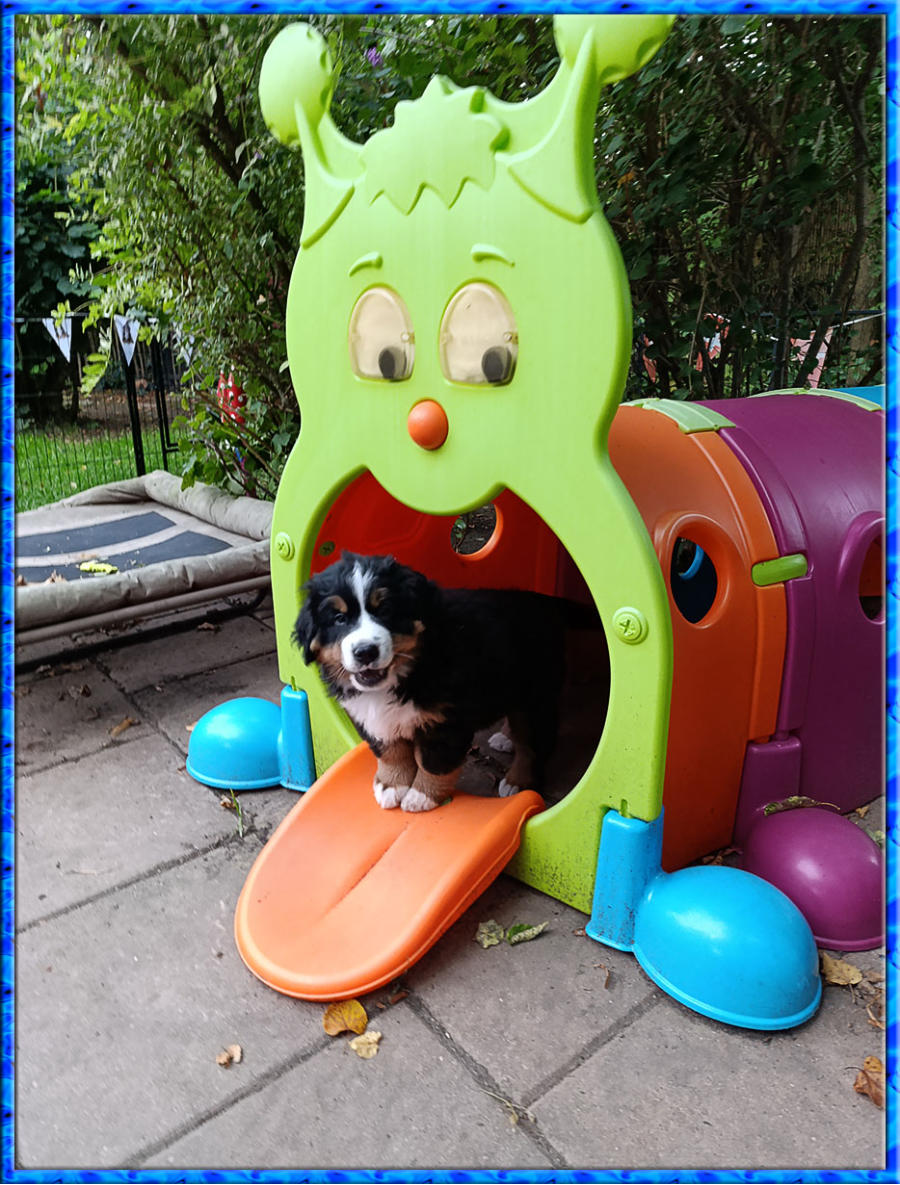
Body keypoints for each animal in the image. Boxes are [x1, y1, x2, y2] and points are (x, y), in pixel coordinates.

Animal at [292, 551, 576, 812]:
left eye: (386, 610)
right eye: (339, 618)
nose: (365, 652)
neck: (407, 672)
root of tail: (542, 602)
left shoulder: (445, 721)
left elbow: (432, 762)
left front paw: (421, 796)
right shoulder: (370, 718)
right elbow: (390, 752)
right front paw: (390, 785)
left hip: (536, 688)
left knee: (533, 741)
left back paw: (517, 781)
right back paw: (505, 738)